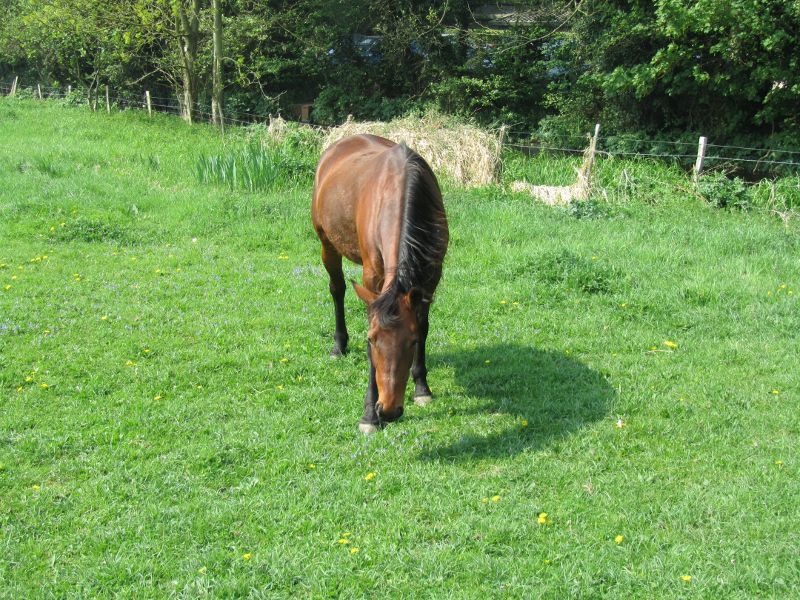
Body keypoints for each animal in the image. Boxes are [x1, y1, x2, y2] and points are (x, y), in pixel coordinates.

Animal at [312, 134, 450, 434]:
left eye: (411, 342)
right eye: (372, 340)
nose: (387, 410)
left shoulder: (430, 278)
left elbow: (424, 325)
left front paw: (422, 388)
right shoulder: (372, 279)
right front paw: (368, 416)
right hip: (327, 244)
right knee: (337, 290)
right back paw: (339, 345)